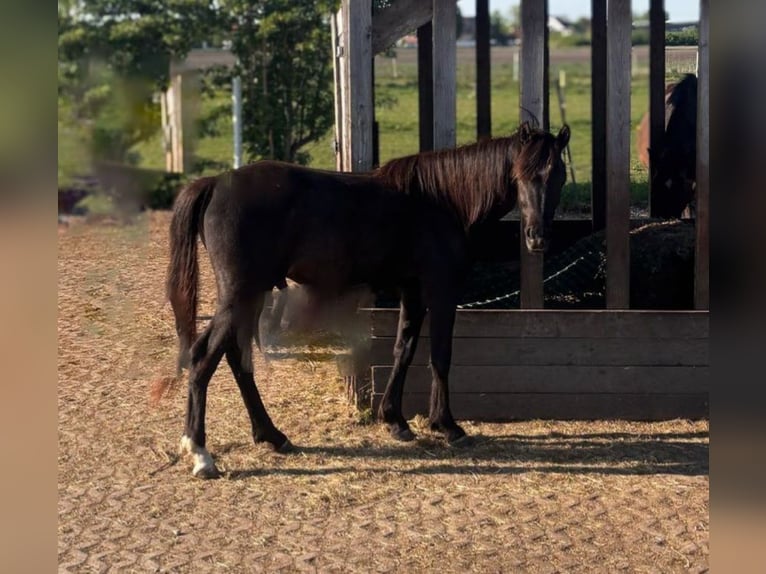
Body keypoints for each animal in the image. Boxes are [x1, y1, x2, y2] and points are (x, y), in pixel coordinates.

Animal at [165, 121, 571, 478]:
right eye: (522, 174)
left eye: (559, 176)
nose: (537, 238)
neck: (443, 202)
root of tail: (215, 184)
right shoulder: (441, 289)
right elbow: (440, 355)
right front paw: (447, 426)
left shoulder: (412, 290)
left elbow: (404, 349)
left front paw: (395, 420)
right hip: (240, 294)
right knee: (204, 358)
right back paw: (201, 453)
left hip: (251, 295)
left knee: (235, 357)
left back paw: (272, 436)